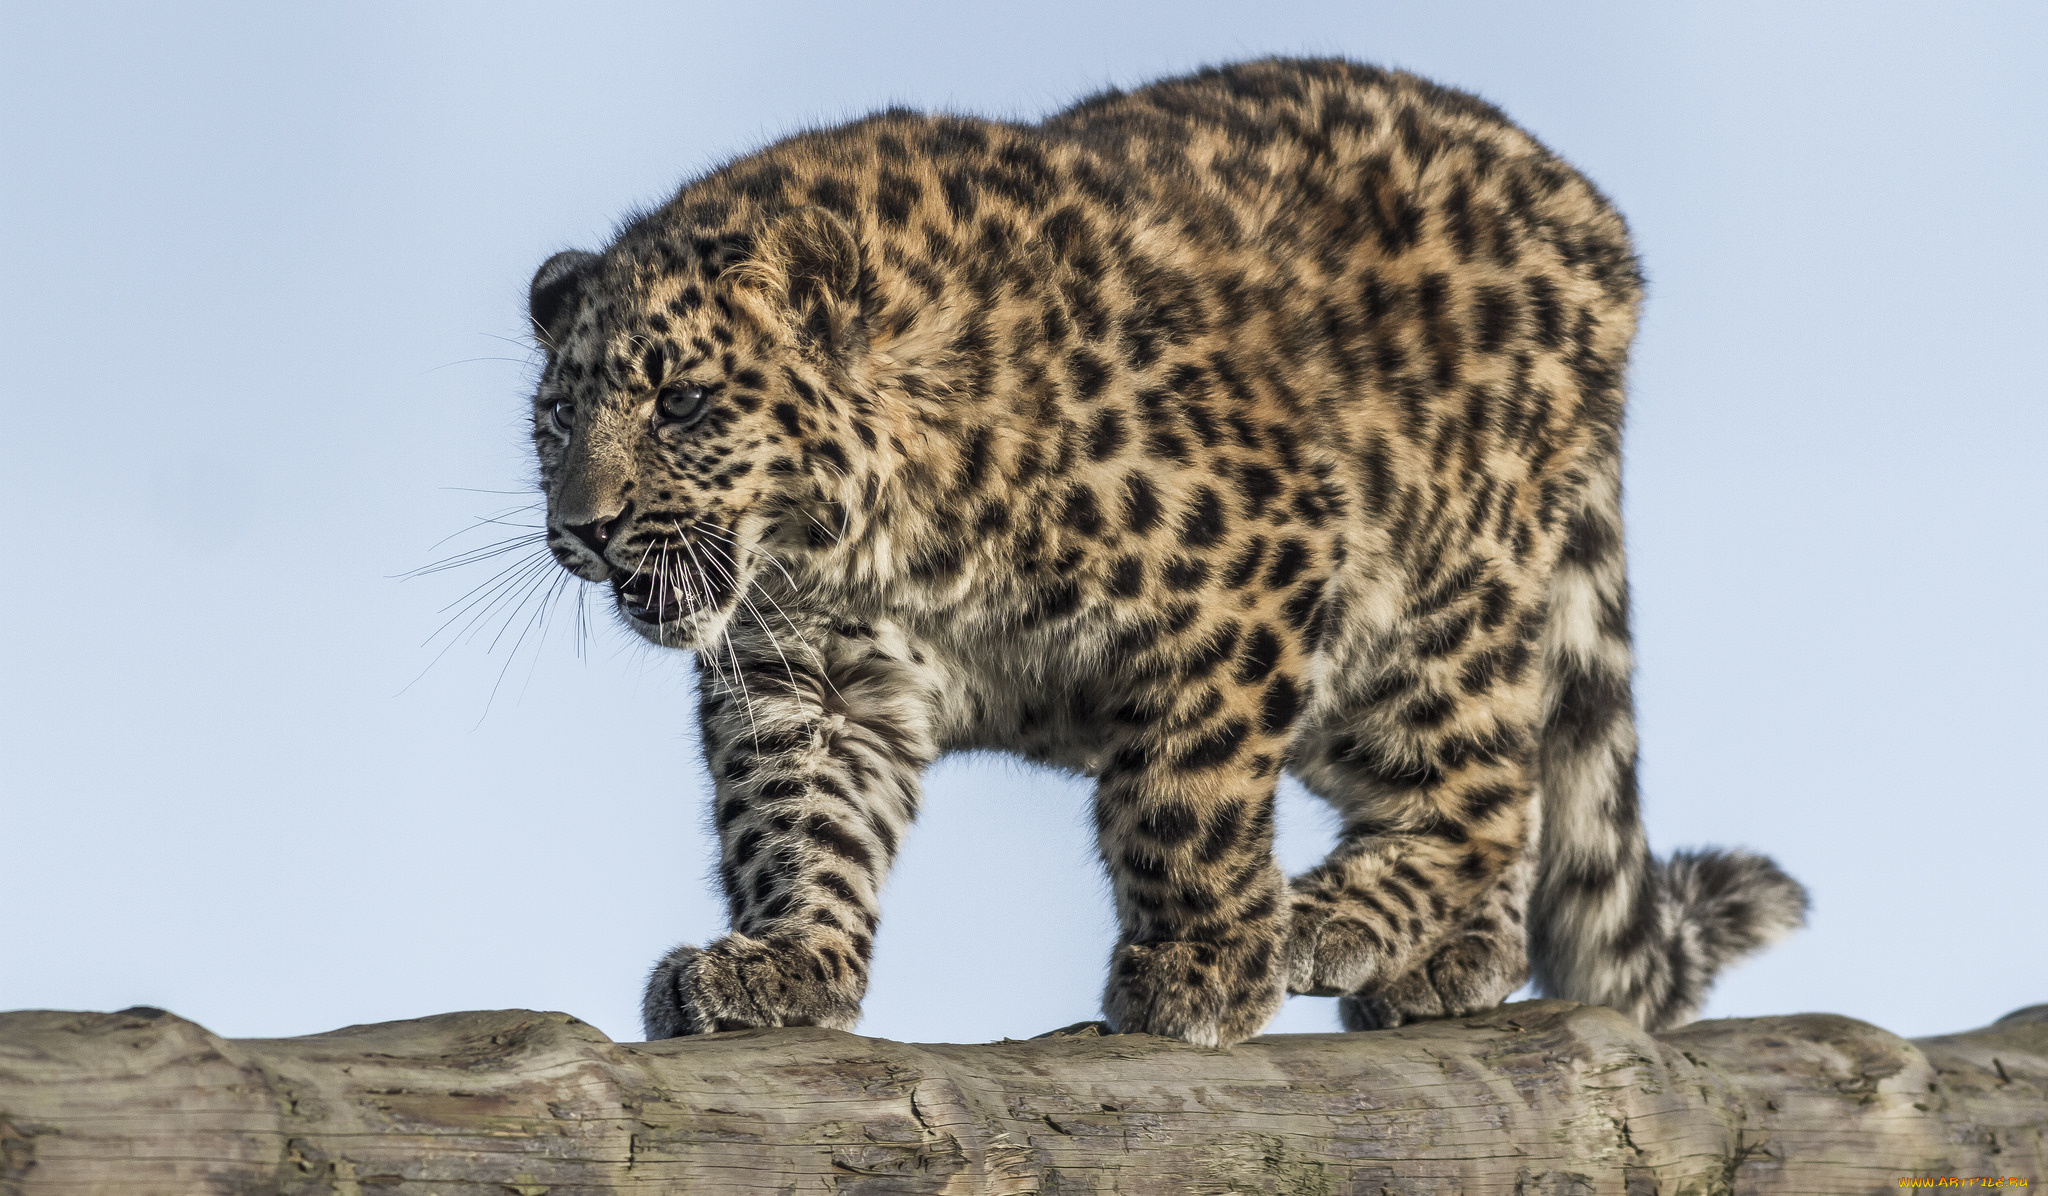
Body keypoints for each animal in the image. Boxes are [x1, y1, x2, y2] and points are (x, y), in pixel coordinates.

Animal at [521, 57, 1808, 1048]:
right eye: (557, 415)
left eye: (683, 401)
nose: (581, 527)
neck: (870, 539)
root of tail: (1594, 220)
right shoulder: (813, 670)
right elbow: (796, 815)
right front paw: (782, 963)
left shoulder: (1253, 565)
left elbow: (1186, 794)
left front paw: (1202, 966)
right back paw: (1442, 960)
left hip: (1423, 605)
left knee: (1483, 787)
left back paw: (1323, 919)